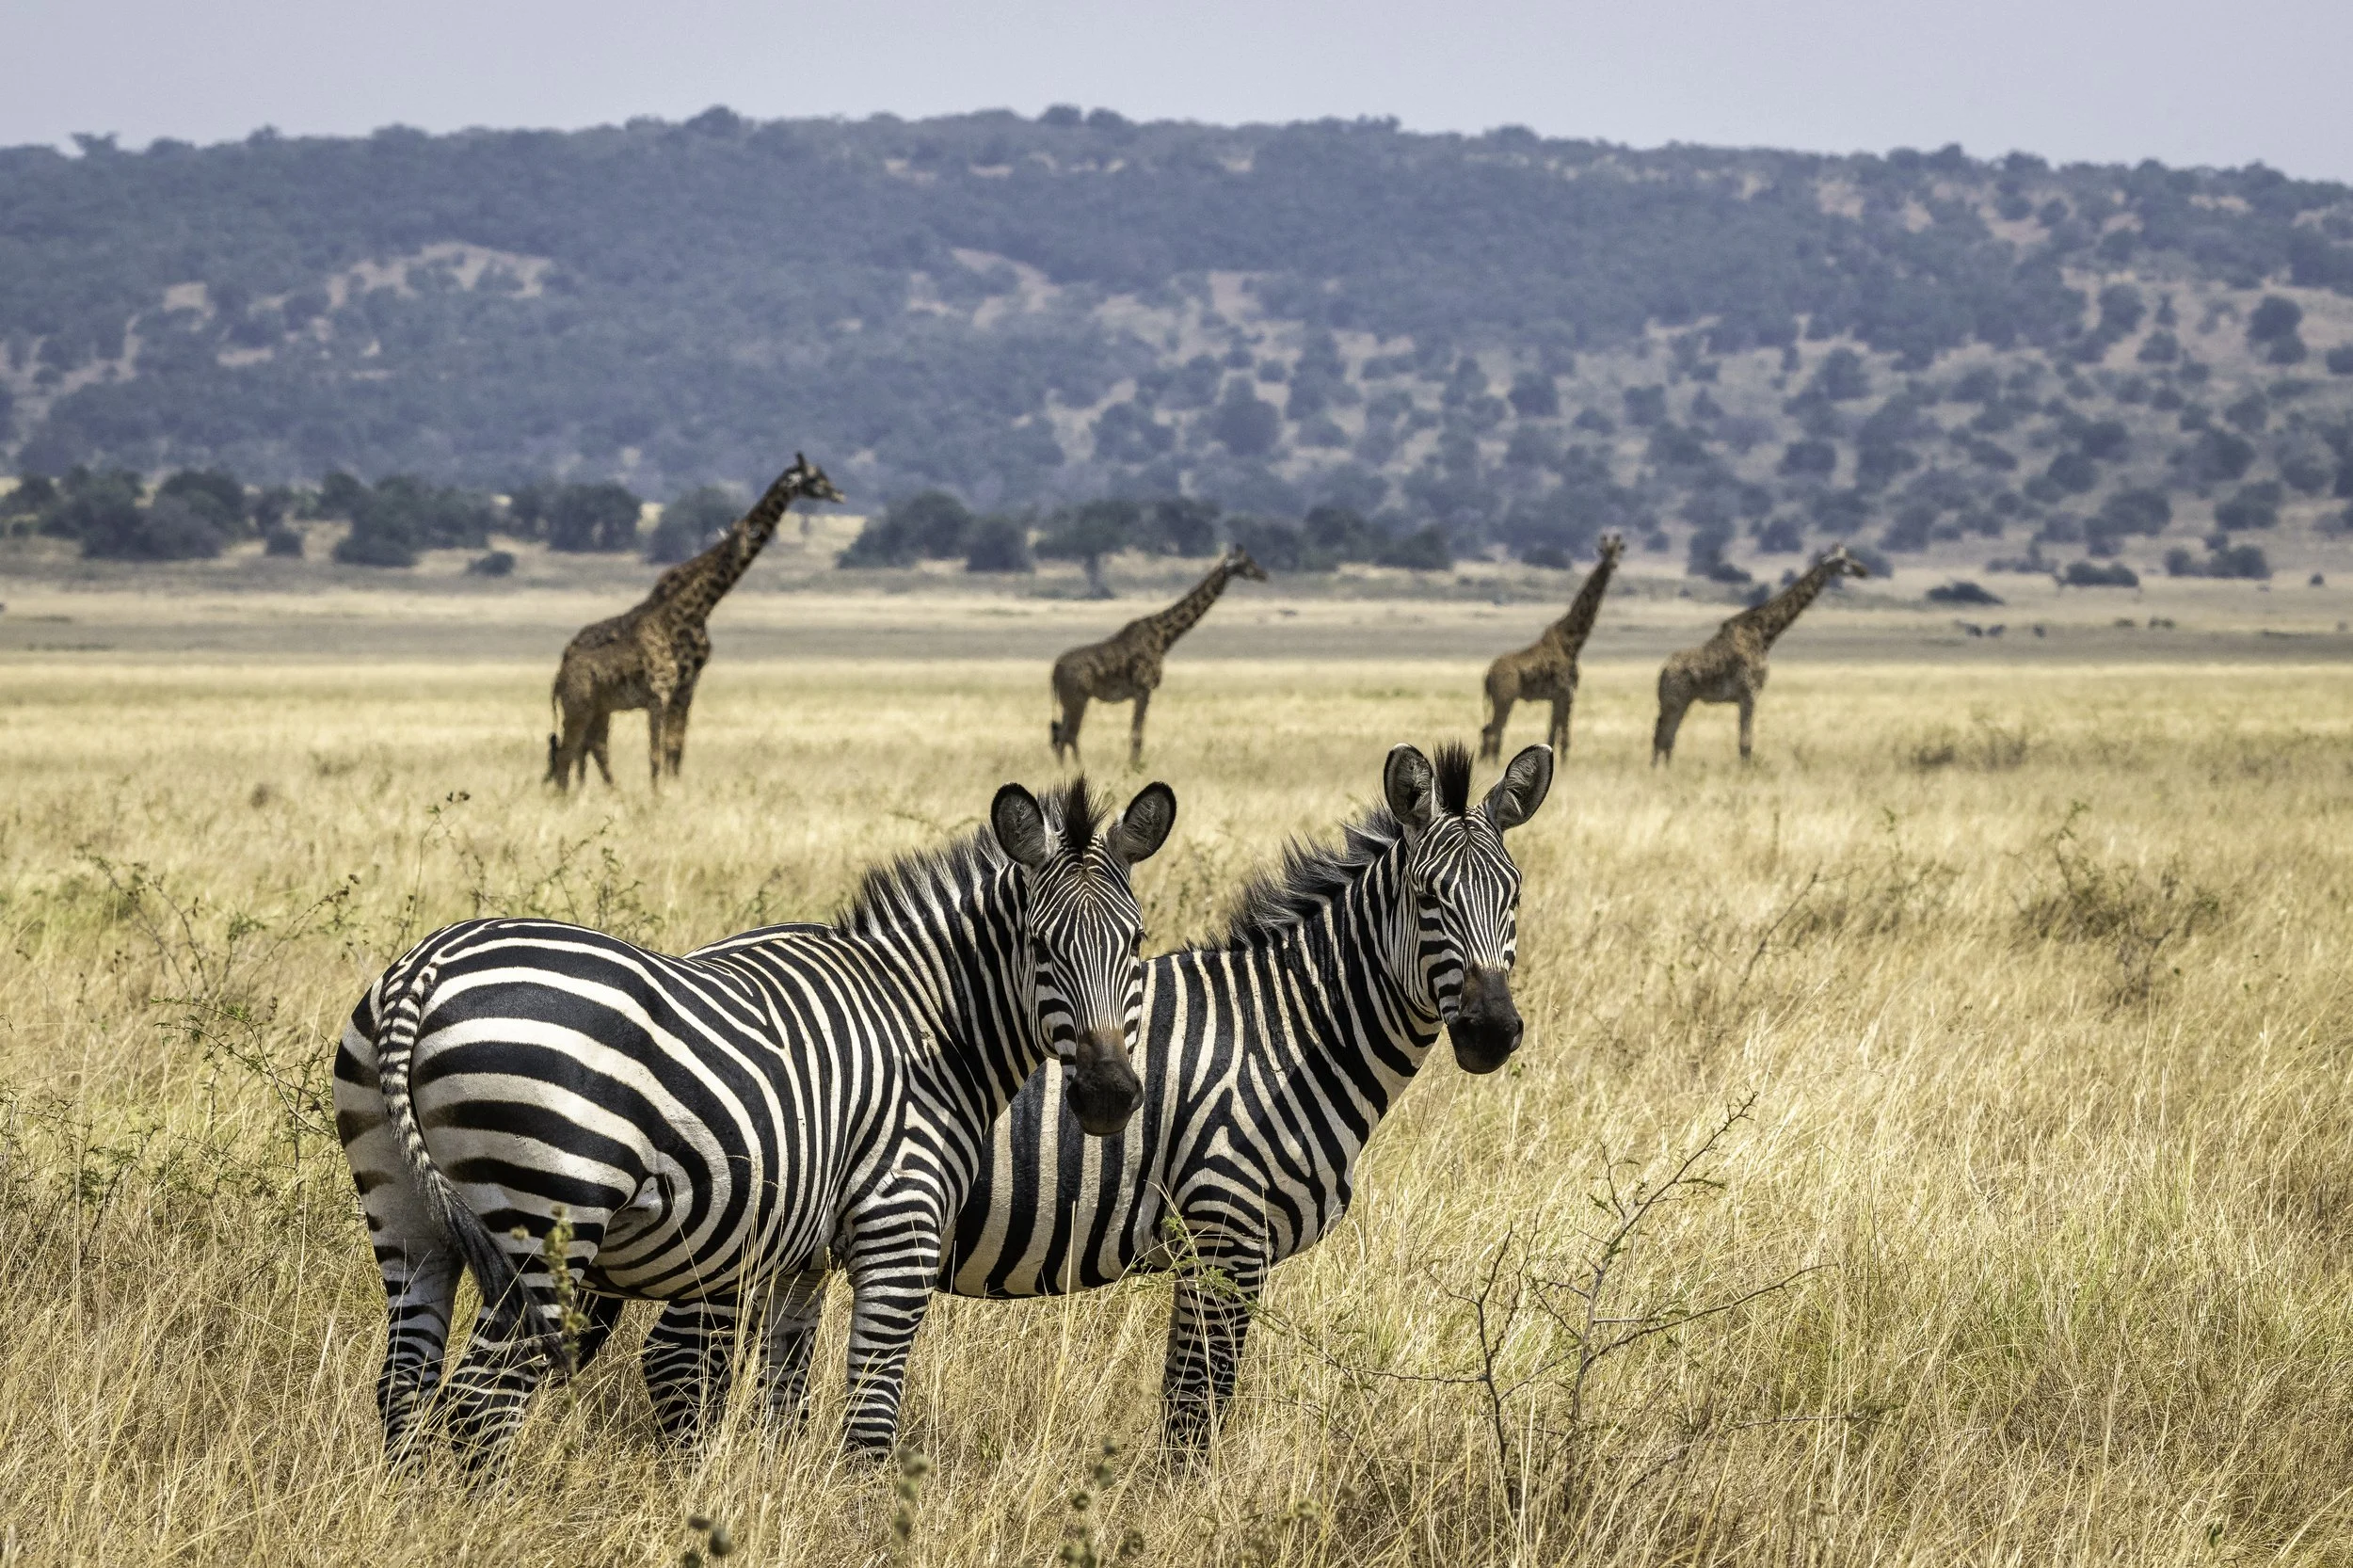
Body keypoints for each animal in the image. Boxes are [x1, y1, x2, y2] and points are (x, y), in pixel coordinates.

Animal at [333, 775, 1176, 1464]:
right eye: (1038, 945)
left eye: (1136, 941)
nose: (1109, 1095)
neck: (926, 1022)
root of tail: (426, 968)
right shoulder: (898, 1228)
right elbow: (870, 1418)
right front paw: (862, 1523)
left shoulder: (800, 1257)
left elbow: (781, 1397)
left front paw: (773, 1499)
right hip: (546, 1223)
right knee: (481, 1401)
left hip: (405, 1215)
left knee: (404, 1382)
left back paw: (414, 1512)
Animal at [545, 454, 843, 790]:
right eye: (815, 478)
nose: (839, 494)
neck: (702, 608)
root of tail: (567, 652)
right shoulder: (672, 688)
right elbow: (663, 751)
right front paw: (663, 791)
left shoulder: (687, 685)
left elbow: (675, 748)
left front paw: (673, 789)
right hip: (595, 704)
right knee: (583, 748)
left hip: (601, 706)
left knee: (585, 748)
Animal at [1049, 545, 1268, 766]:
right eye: (1246, 562)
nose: (1263, 574)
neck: (1163, 638)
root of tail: (1055, 672)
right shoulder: (1143, 689)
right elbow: (1136, 735)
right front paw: (1134, 768)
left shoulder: (1141, 692)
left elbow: (1136, 733)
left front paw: (1134, 766)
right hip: (1077, 698)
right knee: (1068, 735)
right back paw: (1078, 769)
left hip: (1070, 701)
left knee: (1060, 735)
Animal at [1478, 532, 1625, 761]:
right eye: (1604, 552)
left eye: (1619, 550)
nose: (1613, 564)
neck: (1572, 642)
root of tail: (1488, 675)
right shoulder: (1567, 694)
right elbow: (1563, 738)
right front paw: (1564, 765)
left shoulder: (1557, 697)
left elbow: (1552, 735)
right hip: (1505, 698)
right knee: (1494, 731)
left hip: (1499, 700)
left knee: (1488, 731)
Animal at [1651, 543, 1869, 765]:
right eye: (1841, 561)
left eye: (1849, 555)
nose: (1863, 571)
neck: (1764, 635)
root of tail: (1663, 672)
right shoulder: (1749, 693)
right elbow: (1745, 744)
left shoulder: (1745, 696)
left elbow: (1744, 743)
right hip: (1675, 700)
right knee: (1662, 735)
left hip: (1679, 701)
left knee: (1666, 736)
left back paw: (1664, 769)